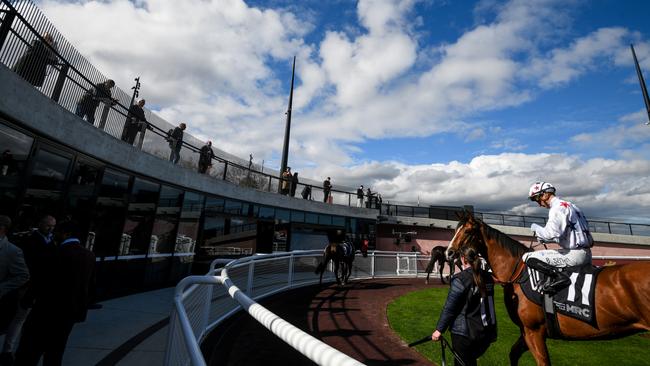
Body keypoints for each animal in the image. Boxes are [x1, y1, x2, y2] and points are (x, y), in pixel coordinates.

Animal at [446, 212, 648, 366]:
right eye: (455, 230)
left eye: (468, 231)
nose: (449, 252)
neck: (518, 272)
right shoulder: (526, 331)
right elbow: (513, 354)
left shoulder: (534, 331)